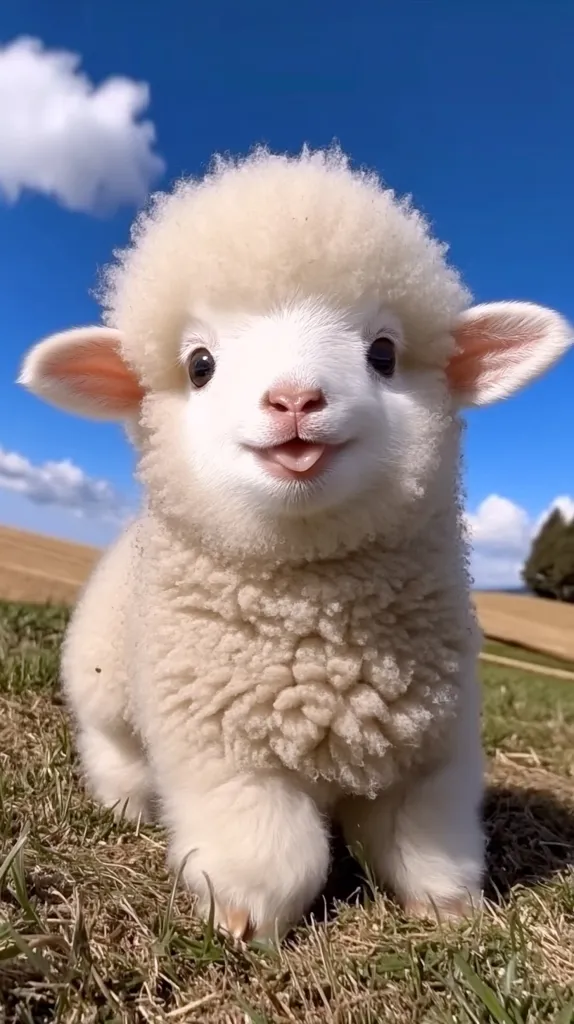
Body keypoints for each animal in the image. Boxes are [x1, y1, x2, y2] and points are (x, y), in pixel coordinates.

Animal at [18, 146, 573, 942]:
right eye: (200, 365)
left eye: (383, 353)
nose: (294, 400)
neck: (320, 645)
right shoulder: (222, 755)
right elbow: (276, 851)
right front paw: (241, 917)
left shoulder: (432, 749)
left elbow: (425, 842)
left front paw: (448, 910)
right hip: (105, 685)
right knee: (113, 750)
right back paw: (127, 804)